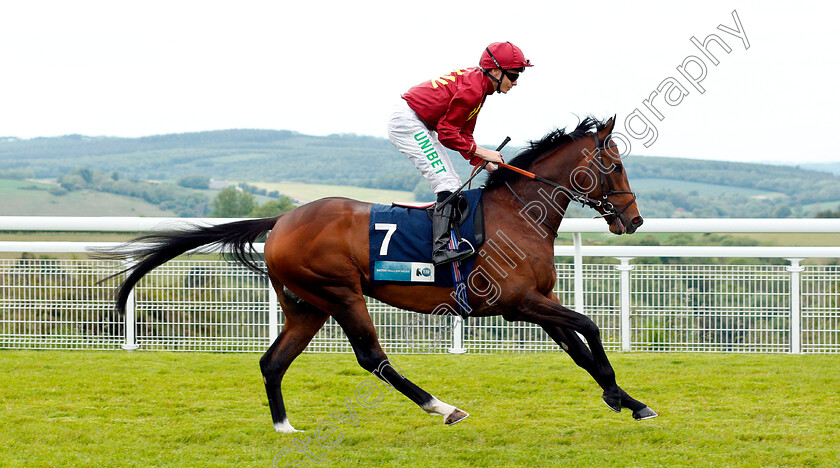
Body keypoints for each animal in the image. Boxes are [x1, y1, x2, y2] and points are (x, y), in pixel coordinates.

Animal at [101, 115, 656, 434]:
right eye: (616, 164)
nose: (633, 221)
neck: (519, 213)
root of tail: (281, 220)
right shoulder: (517, 303)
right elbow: (590, 328)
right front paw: (622, 397)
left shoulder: (536, 303)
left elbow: (581, 350)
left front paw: (628, 401)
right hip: (341, 294)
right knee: (372, 358)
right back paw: (442, 407)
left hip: (306, 307)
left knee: (272, 362)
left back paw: (284, 428)